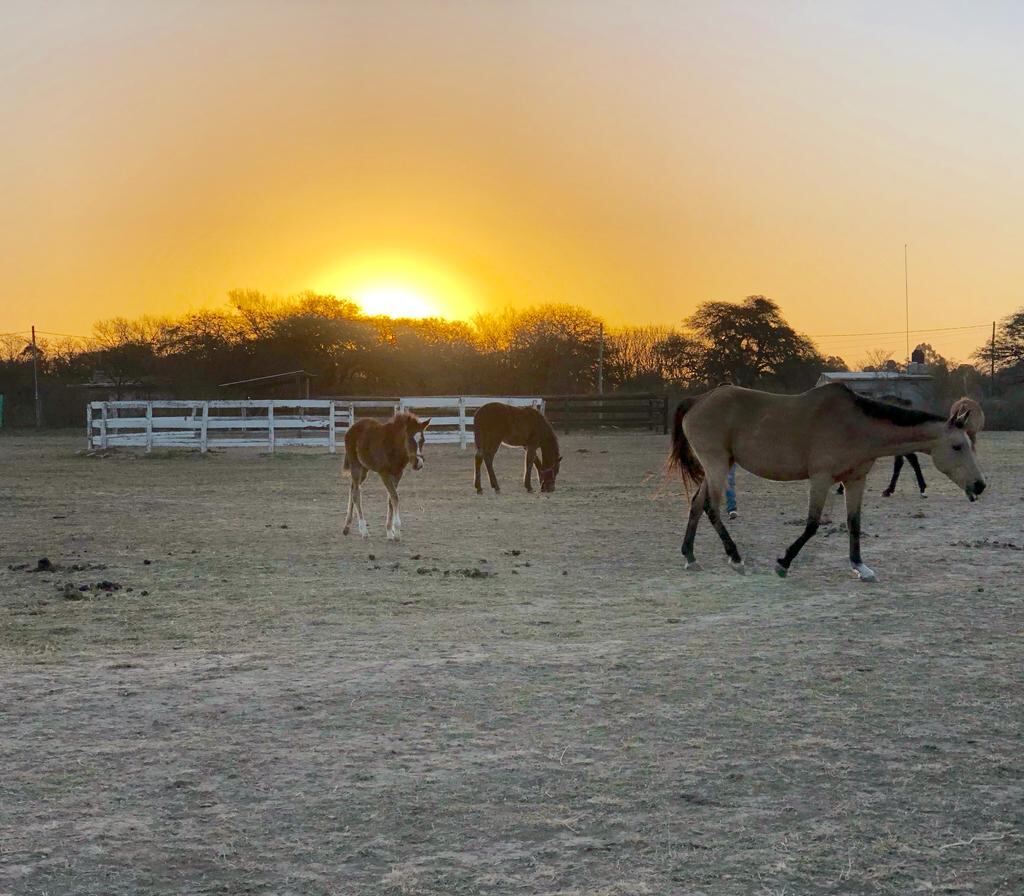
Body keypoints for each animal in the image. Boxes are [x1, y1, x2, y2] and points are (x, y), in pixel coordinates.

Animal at [339, 411, 428, 540]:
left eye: (423, 441)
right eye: (410, 439)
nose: (419, 463)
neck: (393, 446)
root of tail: (351, 429)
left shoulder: (398, 474)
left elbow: (390, 499)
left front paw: (390, 532)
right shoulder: (384, 473)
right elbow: (395, 497)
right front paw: (397, 531)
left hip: (364, 468)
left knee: (352, 488)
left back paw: (346, 527)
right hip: (355, 465)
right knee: (356, 493)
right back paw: (364, 531)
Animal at [667, 382, 987, 581]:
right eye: (958, 446)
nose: (980, 485)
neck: (856, 426)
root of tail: (698, 400)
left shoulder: (855, 480)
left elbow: (854, 523)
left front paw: (860, 566)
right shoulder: (821, 479)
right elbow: (812, 525)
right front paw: (783, 563)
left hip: (717, 467)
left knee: (697, 504)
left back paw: (690, 557)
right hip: (717, 465)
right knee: (711, 508)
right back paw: (735, 558)